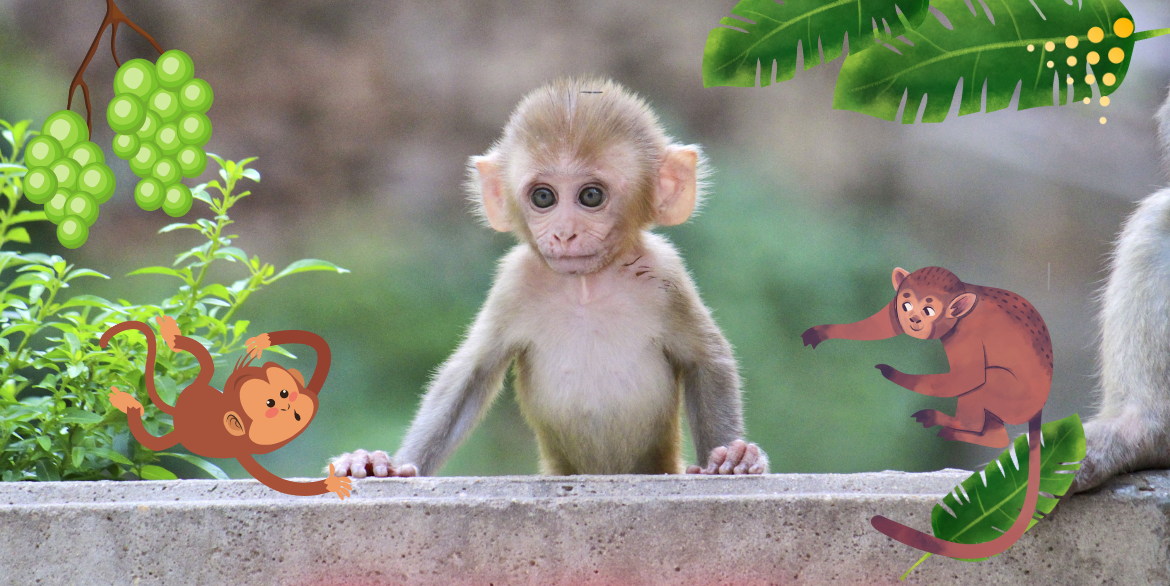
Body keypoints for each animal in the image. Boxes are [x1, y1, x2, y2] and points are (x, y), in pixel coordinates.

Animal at [331, 77, 767, 478]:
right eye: (544, 197)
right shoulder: (513, 282)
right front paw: (382, 464)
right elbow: (471, 372)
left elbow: (705, 360)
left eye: (591, 196)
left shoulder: (666, 273)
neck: (585, 286)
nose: (563, 233)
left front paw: (731, 458)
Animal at [802, 266, 1051, 558]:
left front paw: (895, 374)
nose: (913, 319)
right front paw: (822, 332)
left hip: (1014, 396)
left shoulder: (968, 336)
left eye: (929, 310)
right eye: (906, 304)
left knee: (984, 380)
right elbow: (884, 324)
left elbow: (969, 377)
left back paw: (959, 425)